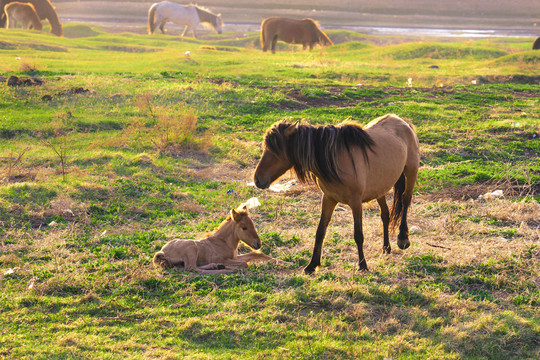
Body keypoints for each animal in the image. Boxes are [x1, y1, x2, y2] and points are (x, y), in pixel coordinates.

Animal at [152, 205, 282, 272]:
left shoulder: (234, 257)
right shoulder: (224, 258)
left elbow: (256, 254)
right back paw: (221, 268)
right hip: (192, 248)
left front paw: (283, 262)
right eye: (244, 227)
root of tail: (162, 252)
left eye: (253, 224)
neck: (223, 242)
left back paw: (217, 266)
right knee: (191, 268)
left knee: (187, 267)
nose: (258, 243)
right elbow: (245, 263)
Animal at [254, 114, 422, 274]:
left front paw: (362, 265)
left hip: (411, 172)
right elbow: (320, 231)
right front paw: (312, 265)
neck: (335, 160)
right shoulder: (328, 198)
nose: (257, 179)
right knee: (385, 215)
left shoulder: (356, 202)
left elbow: (358, 234)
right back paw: (386, 247)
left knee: (405, 201)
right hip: (379, 188)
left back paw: (403, 239)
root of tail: (402, 122)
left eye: (275, 151)